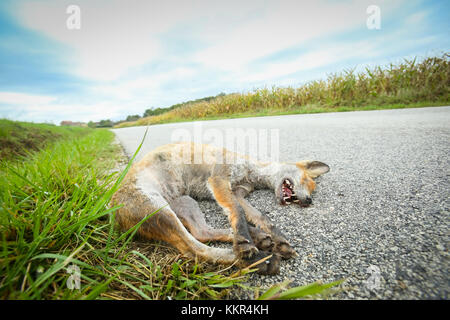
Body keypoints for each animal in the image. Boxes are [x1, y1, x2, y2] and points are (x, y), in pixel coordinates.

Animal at [111, 142, 330, 276]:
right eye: (307, 181)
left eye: (312, 188)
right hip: (160, 211)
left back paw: (259, 239)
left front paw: (277, 238)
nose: (309, 200)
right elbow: (238, 214)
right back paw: (259, 259)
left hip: (185, 203)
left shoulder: (239, 192)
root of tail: (112, 213)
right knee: (195, 250)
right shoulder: (218, 180)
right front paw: (245, 242)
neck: (250, 173)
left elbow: (260, 217)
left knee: (201, 233)